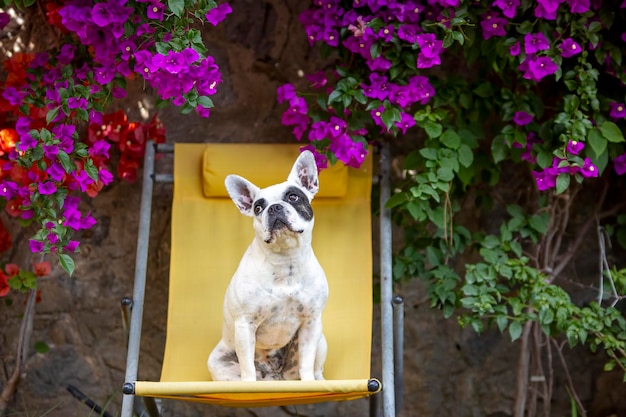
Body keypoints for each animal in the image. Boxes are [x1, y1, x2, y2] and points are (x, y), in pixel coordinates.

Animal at [207, 150, 330, 380]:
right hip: (218, 361)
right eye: (258, 207)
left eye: (293, 197)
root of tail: (276, 375)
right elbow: (247, 368)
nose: (274, 208)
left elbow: (307, 363)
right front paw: (249, 382)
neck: (285, 260)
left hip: (320, 341)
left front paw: (308, 382)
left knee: (315, 367)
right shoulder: (245, 325)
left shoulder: (311, 323)